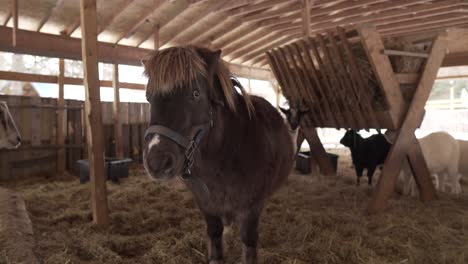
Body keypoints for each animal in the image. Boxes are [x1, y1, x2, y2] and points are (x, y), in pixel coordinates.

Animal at [143, 46, 294, 262]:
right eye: (148, 97)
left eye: (195, 94)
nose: (157, 162)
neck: (224, 157)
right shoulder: (207, 205)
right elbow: (215, 236)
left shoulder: (252, 208)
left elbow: (249, 242)